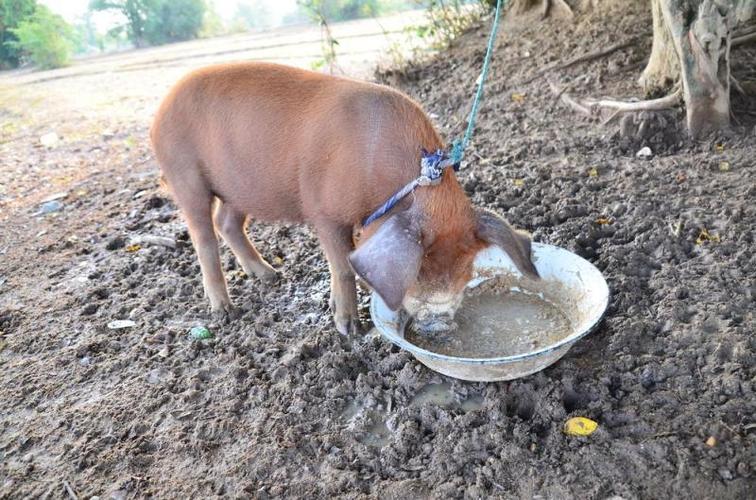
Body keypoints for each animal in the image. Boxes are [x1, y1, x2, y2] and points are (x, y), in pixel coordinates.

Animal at [149, 62, 536, 336]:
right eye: (418, 272)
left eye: (467, 271)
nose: (440, 323)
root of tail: (160, 109)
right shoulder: (325, 211)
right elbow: (342, 265)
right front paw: (350, 330)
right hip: (185, 176)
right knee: (204, 238)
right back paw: (225, 312)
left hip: (237, 189)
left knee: (227, 223)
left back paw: (271, 276)